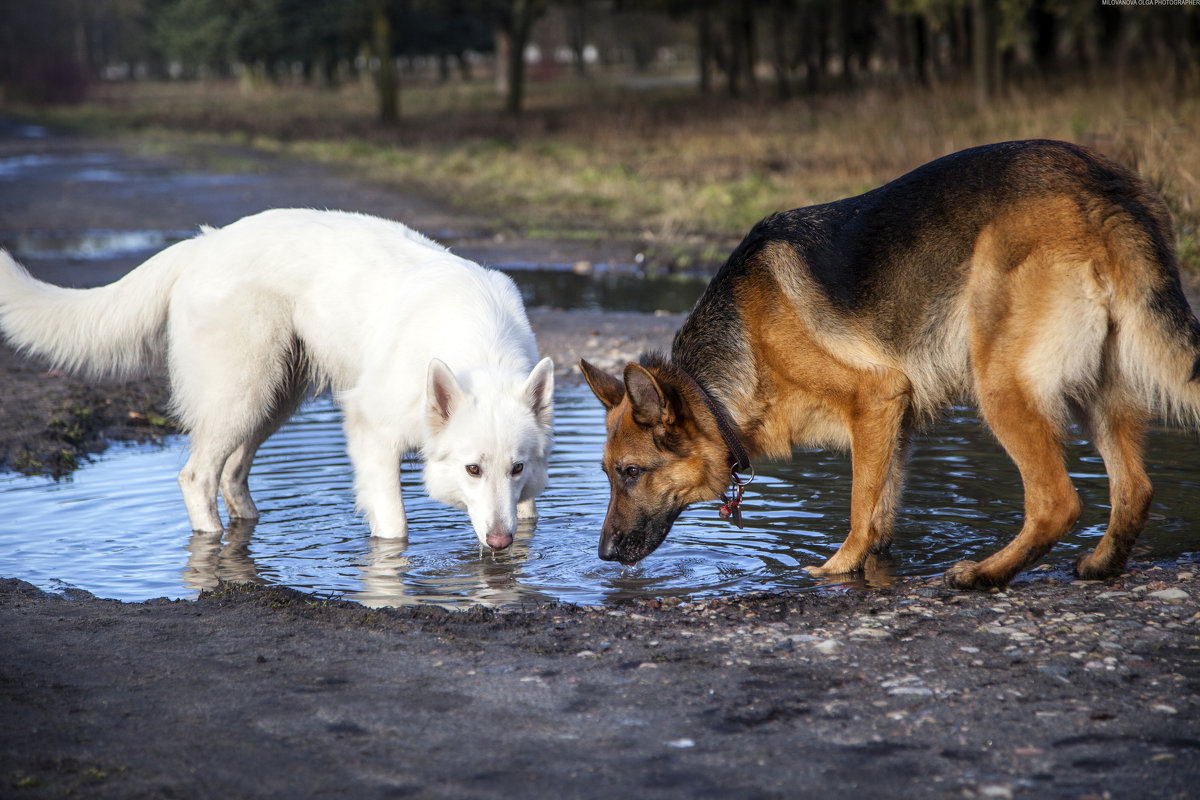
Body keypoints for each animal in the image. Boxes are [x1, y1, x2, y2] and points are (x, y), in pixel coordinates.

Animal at [0, 209, 552, 554]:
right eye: (472, 469)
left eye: (517, 467)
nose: (498, 544)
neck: (478, 344)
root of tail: (202, 244)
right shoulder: (371, 429)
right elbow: (395, 525)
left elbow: (526, 513)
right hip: (242, 395)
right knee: (198, 476)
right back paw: (212, 538)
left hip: (273, 400)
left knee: (231, 473)